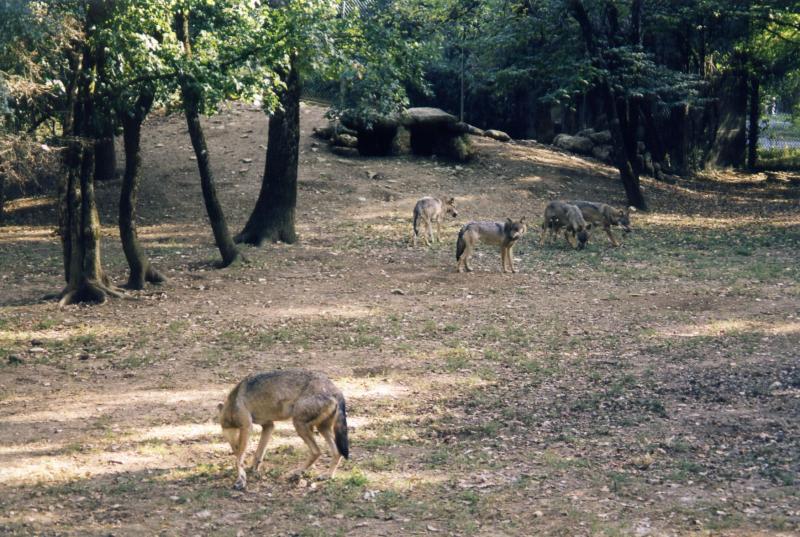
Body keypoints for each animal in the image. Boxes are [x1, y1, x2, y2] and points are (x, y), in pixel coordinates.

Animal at [217, 369, 349, 490]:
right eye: (233, 447)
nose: (235, 449)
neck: (233, 404)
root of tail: (335, 390)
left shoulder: (247, 427)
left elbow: (239, 460)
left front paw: (241, 480)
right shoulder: (269, 426)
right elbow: (258, 454)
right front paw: (253, 470)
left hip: (299, 425)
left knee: (316, 452)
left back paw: (296, 473)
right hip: (321, 428)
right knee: (337, 452)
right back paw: (327, 476)